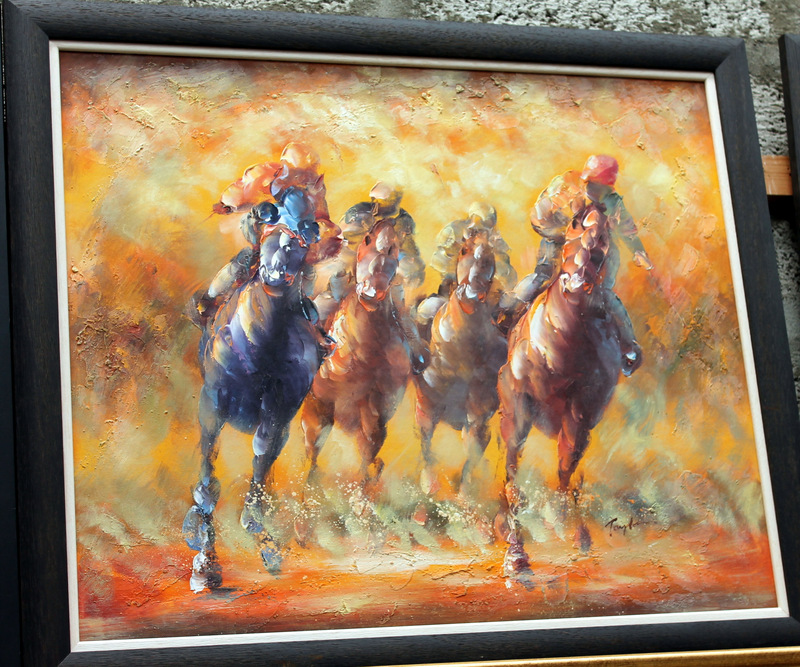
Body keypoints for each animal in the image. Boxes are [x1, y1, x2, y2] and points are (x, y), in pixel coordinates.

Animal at [183, 196, 335, 593]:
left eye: (299, 244)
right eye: (269, 230)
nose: (275, 272)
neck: (263, 342)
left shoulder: (280, 411)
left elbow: (261, 458)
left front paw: (265, 542)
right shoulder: (212, 402)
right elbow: (208, 483)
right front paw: (206, 563)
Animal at [300, 220, 428, 504]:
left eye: (393, 249)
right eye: (367, 240)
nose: (373, 292)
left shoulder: (376, 409)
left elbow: (370, 453)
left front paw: (362, 500)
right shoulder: (320, 407)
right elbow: (314, 455)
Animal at [414, 230, 508, 497]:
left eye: (489, 258)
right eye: (464, 250)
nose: (471, 293)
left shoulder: (477, 416)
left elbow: (474, 450)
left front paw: (465, 495)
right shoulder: (426, 406)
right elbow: (426, 444)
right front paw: (429, 485)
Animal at [497, 204, 642, 574]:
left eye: (605, 236)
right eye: (575, 226)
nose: (583, 271)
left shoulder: (581, 414)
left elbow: (566, 470)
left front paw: (577, 534)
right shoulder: (517, 410)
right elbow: (513, 476)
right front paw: (516, 552)